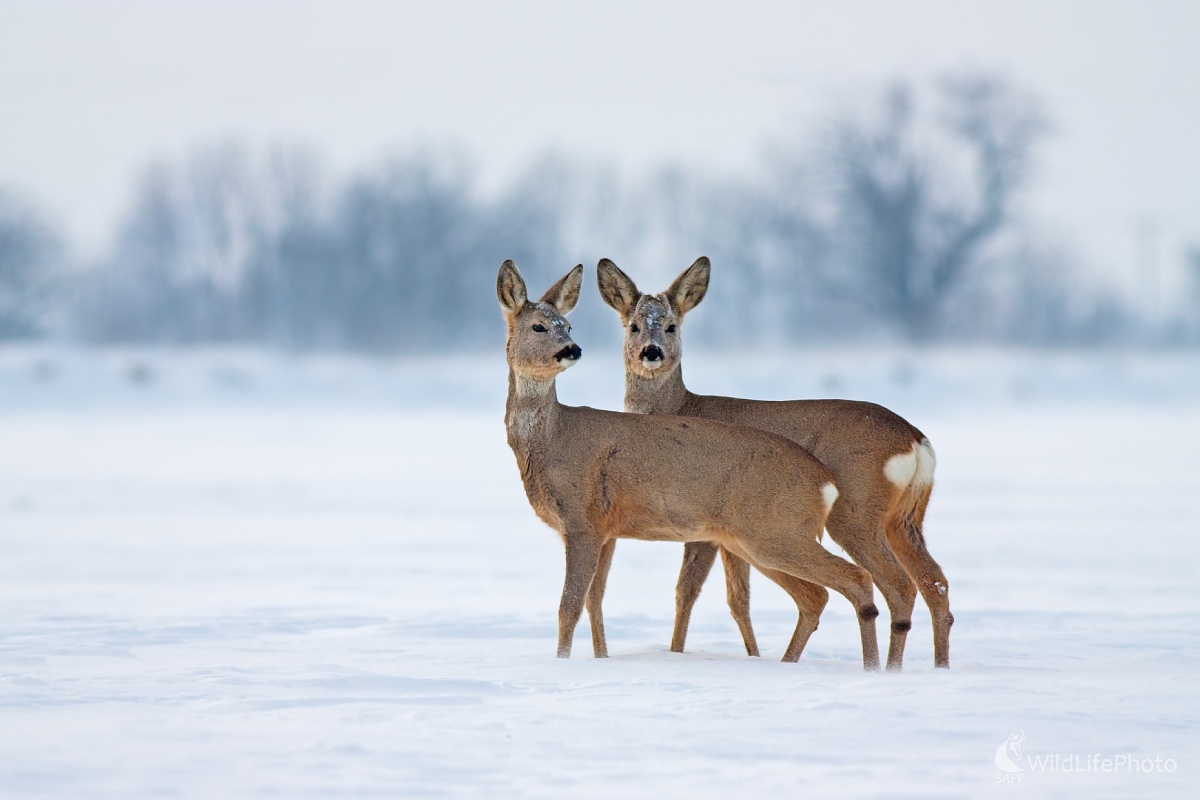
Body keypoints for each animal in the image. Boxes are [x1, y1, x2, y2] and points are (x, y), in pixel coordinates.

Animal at [496, 261, 883, 671]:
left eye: (567, 325)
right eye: (539, 326)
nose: (572, 348)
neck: (552, 441)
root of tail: (825, 480)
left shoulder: (582, 519)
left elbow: (568, 606)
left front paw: (563, 665)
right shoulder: (603, 528)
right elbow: (593, 601)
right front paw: (601, 659)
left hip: (777, 530)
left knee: (855, 578)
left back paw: (873, 669)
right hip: (753, 538)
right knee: (815, 596)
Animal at [595, 256, 950, 671]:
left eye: (671, 325)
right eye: (633, 325)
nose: (651, 352)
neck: (680, 407)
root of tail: (916, 440)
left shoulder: (705, 526)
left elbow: (688, 590)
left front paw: (676, 653)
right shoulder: (728, 535)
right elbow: (738, 599)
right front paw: (753, 656)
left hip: (855, 510)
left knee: (897, 585)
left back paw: (885, 668)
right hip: (904, 518)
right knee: (935, 583)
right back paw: (938, 666)